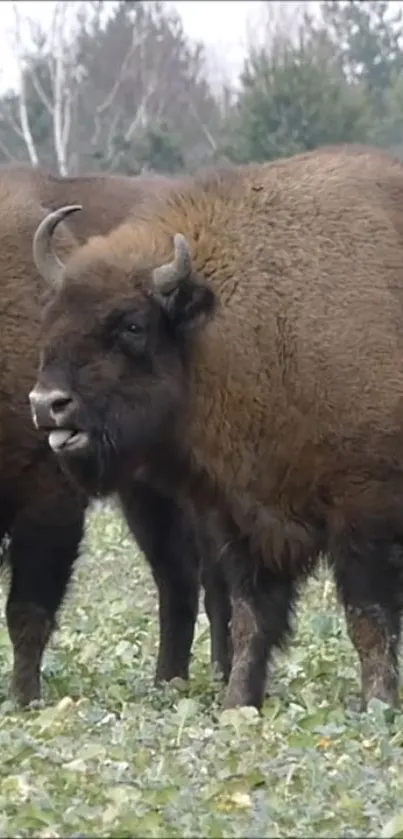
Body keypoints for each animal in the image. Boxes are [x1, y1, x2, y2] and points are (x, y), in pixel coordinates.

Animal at [0, 162, 230, 704]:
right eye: (48, 318)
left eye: (129, 328)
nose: (46, 406)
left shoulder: (48, 500)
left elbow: (27, 612)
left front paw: (25, 700)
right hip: (147, 497)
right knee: (177, 578)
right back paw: (167, 682)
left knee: (214, 582)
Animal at [29, 146, 403, 716]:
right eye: (52, 316)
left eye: (132, 325)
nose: (47, 404)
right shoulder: (244, 519)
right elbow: (251, 619)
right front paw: (236, 706)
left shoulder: (365, 514)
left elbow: (369, 622)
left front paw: (379, 706)